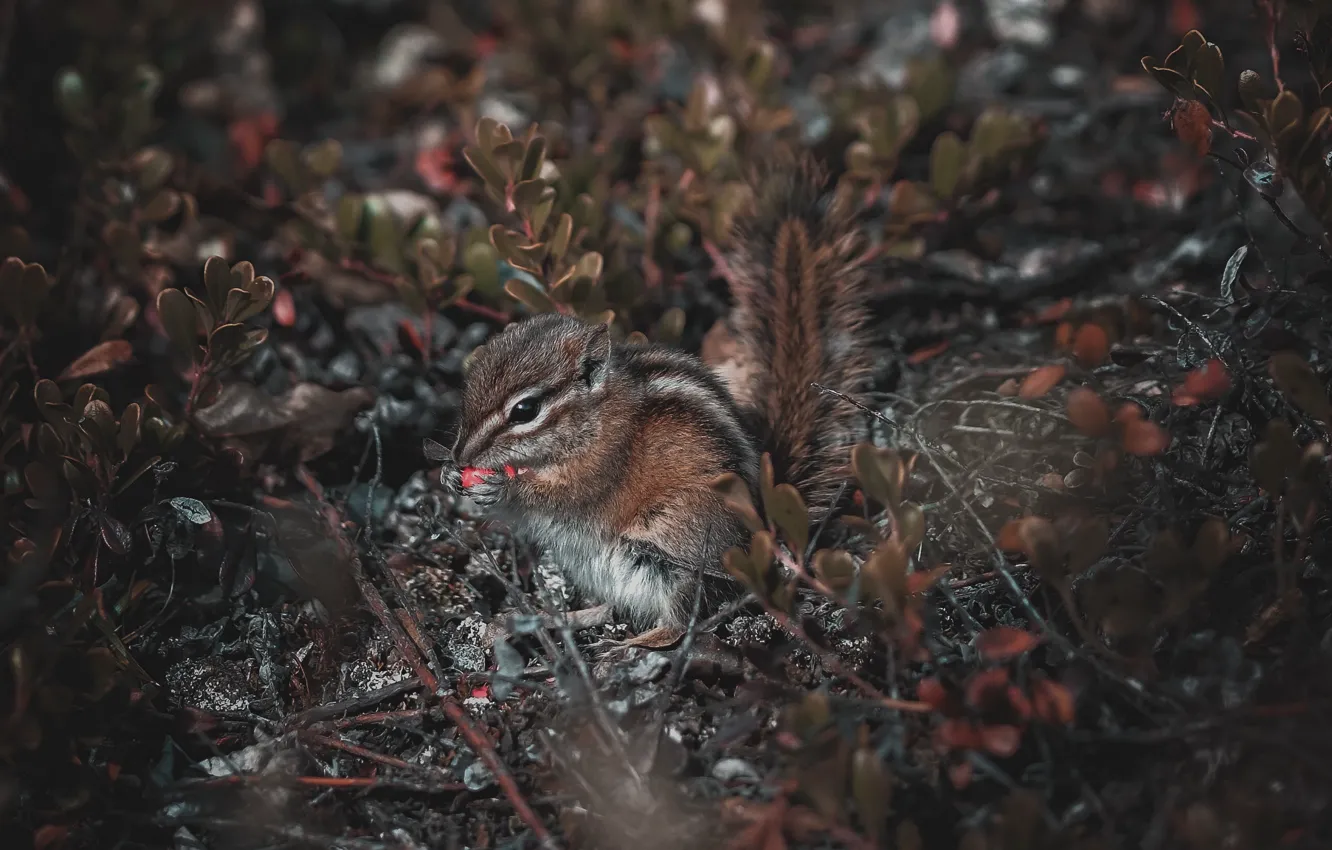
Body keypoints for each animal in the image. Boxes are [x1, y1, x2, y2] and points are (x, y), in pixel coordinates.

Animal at [439, 151, 873, 638]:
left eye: (525, 410)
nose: (460, 456)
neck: (595, 416)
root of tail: (765, 528)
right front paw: (452, 478)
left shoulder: (600, 465)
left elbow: (563, 496)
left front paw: (501, 486)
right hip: (596, 566)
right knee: (614, 608)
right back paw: (565, 617)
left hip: (670, 548)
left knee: (683, 618)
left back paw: (632, 644)